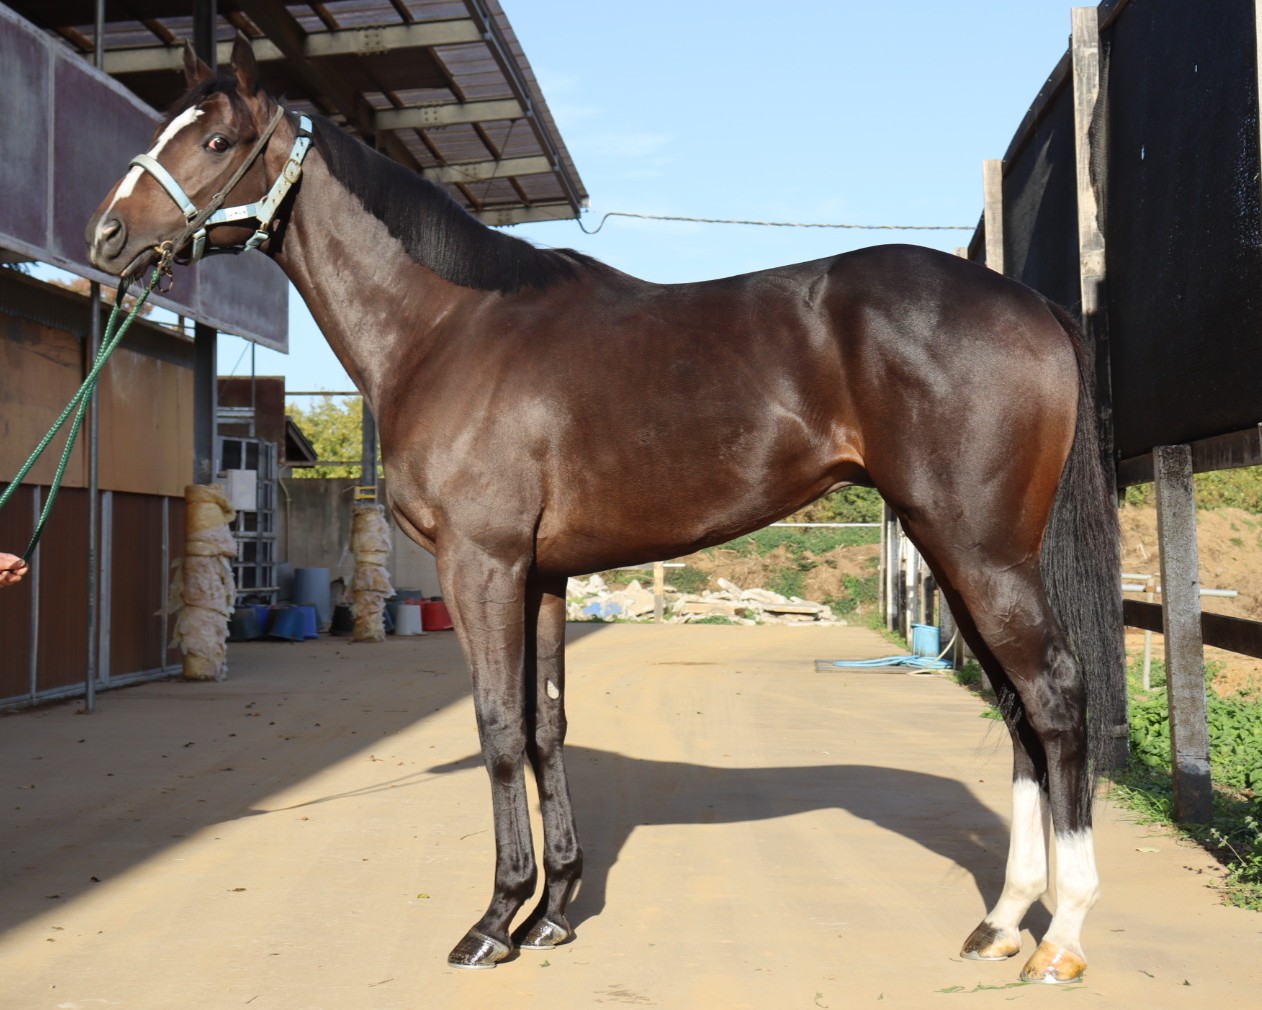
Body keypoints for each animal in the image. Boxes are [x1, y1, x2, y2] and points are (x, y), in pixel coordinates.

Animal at [86, 35, 1123, 984]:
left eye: (216, 140)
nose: (105, 239)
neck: (447, 330)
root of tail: (1026, 301)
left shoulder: (484, 564)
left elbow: (498, 729)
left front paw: (494, 921)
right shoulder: (542, 576)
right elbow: (547, 728)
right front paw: (552, 912)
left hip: (980, 551)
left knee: (1054, 696)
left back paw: (1063, 937)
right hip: (958, 552)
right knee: (1018, 711)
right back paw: (1002, 922)